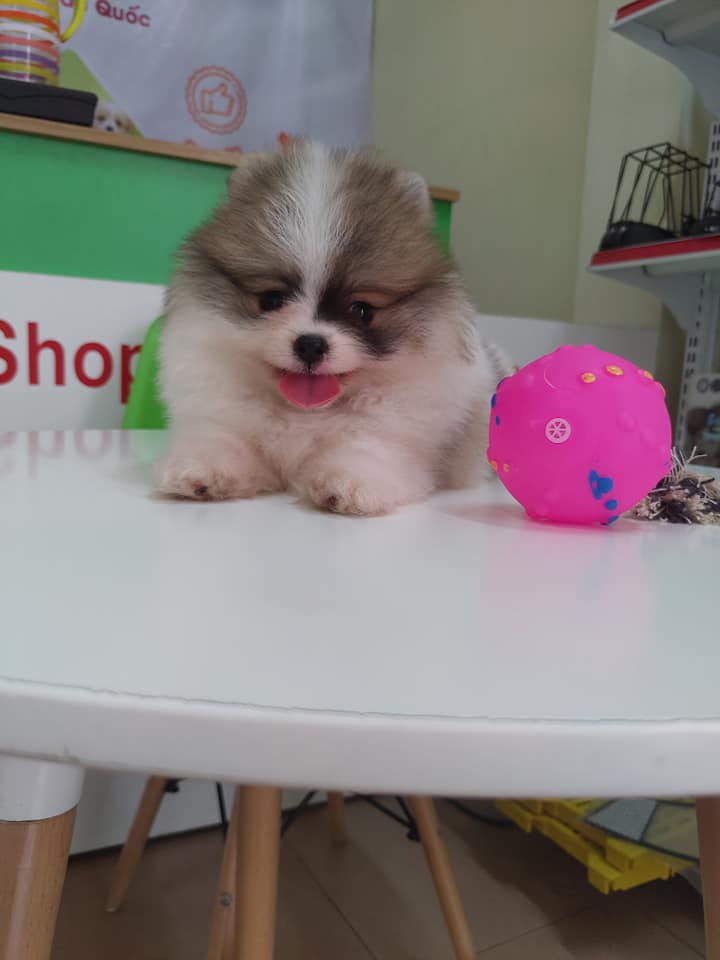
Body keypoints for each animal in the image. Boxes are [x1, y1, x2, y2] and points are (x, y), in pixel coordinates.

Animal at [156, 141, 511, 515]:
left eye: (361, 310)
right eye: (272, 299)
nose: (310, 344)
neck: (305, 412)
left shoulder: (394, 433)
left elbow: (368, 448)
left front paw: (349, 483)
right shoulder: (225, 414)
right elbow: (223, 437)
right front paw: (203, 468)